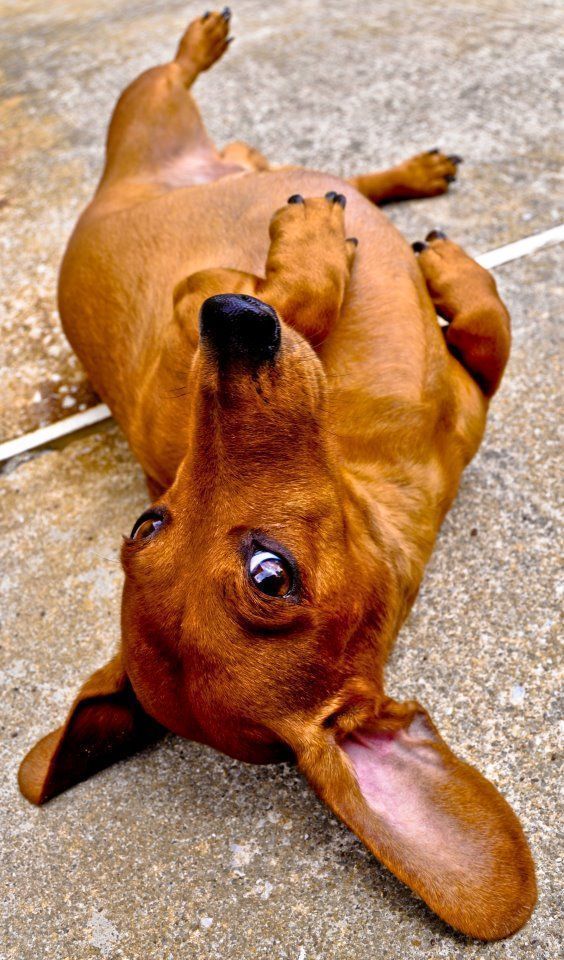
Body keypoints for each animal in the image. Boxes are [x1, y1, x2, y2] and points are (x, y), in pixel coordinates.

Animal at [18, 7, 536, 936]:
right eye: (270, 576)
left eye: (145, 523)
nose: (232, 328)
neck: (370, 463)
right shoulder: (190, 314)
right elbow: (294, 298)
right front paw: (317, 261)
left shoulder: (470, 390)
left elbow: (488, 330)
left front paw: (434, 269)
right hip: (149, 114)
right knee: (170, 78)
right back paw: (215, 67)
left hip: (230, 155)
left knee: (310, 168)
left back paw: (396, 181)